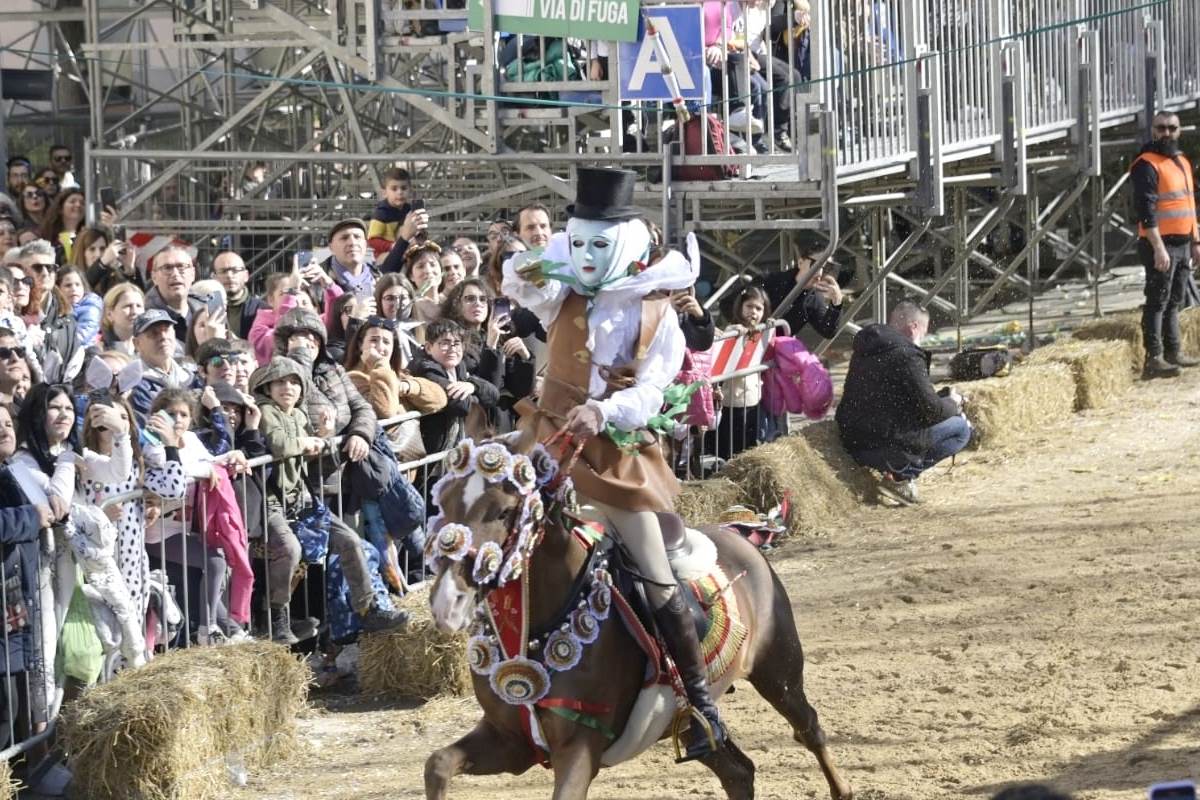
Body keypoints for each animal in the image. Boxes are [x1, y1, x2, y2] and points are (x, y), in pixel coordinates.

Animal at [422, 432, 852, 800]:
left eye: (504, 510)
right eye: (444, 501)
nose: (448, 602)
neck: (534, 628)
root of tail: (740, 536)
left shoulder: (580, 748)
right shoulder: (511, 741)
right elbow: (437, 764)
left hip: (778, 671)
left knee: (810, 730)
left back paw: (841, 788)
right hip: (692, 723)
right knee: (739, 772)